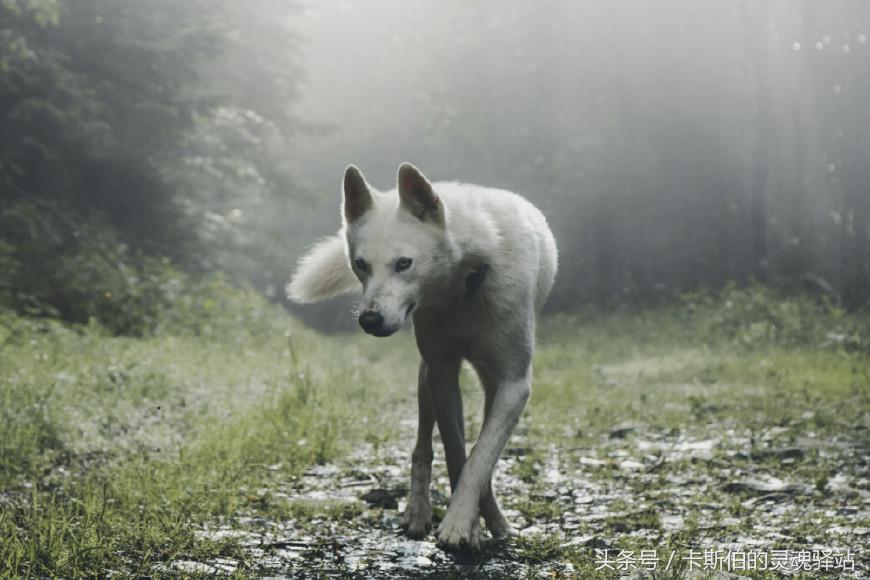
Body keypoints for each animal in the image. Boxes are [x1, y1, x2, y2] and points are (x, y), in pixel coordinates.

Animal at [288, 163, 560, 552]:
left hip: (486, 382)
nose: (369, 320)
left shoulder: (514, 384)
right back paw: (419, 511)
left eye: (404, 263)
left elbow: (480, 457)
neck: (464, 284)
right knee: (422, 446)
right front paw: (467, 525)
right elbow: (457, 453)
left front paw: (464, 522)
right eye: (361, 264)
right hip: (426, 377)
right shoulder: (442, 374)